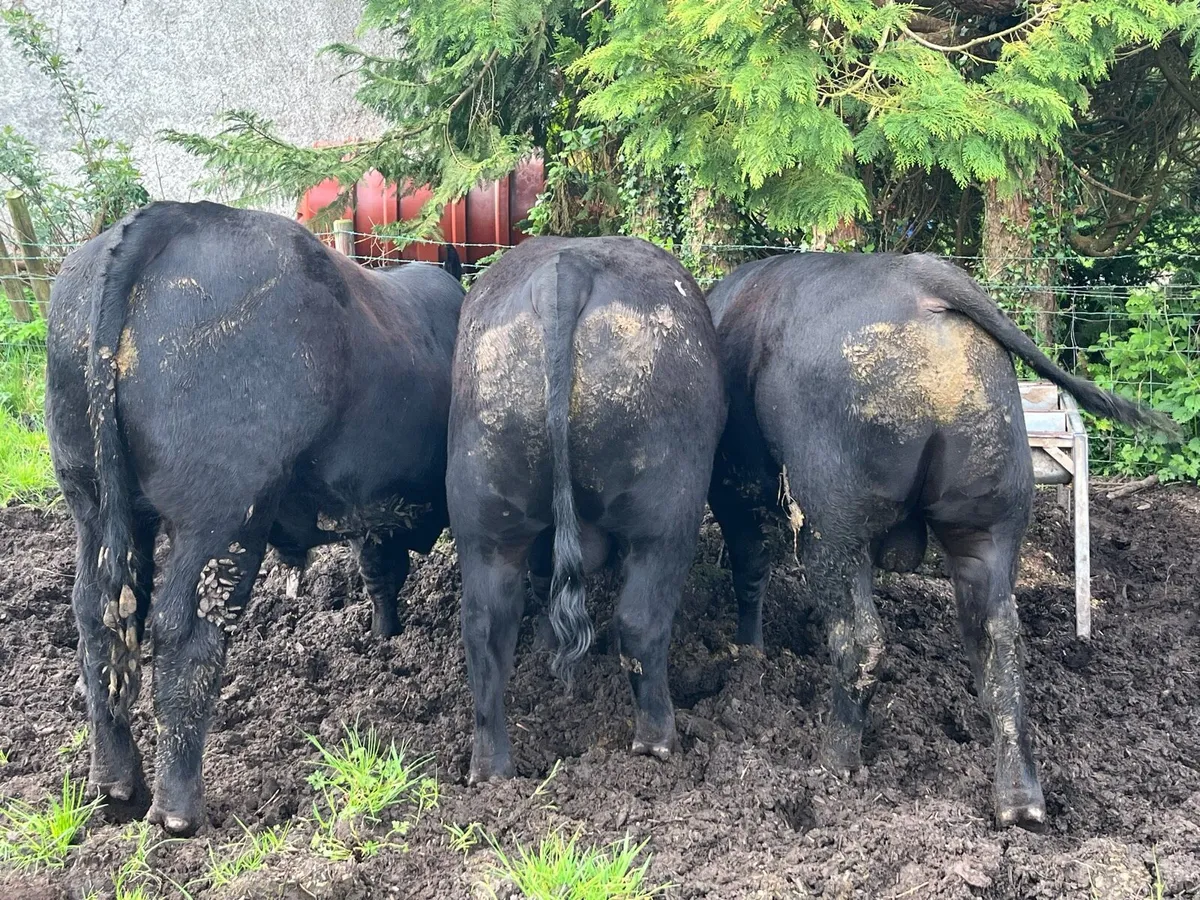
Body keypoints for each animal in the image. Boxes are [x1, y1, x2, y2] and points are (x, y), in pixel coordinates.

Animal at [45, 200, 464, 835]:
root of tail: (166, 217)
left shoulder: (370, 508)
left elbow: (379, 574)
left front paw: (385, 640)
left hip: (90, 503)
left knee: (98, 621)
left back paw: (114, 784)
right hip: (220, 516)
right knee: (185, 633)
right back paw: (178, 811)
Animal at [446, 236, 727, 783]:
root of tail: (565, 271)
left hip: (485, 525)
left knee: (484, 632)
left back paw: (491, 769)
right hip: (667, 513)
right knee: (640, 624)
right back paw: (659, 742)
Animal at [705, 251, 1178, 829]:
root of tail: (920, 278)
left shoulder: (734, 491)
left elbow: (751, 568)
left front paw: (748, 652)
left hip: (830, 518)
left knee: (861, 637)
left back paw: (833, 763)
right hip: (989, 516)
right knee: (999, 640)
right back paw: (1020, 803)